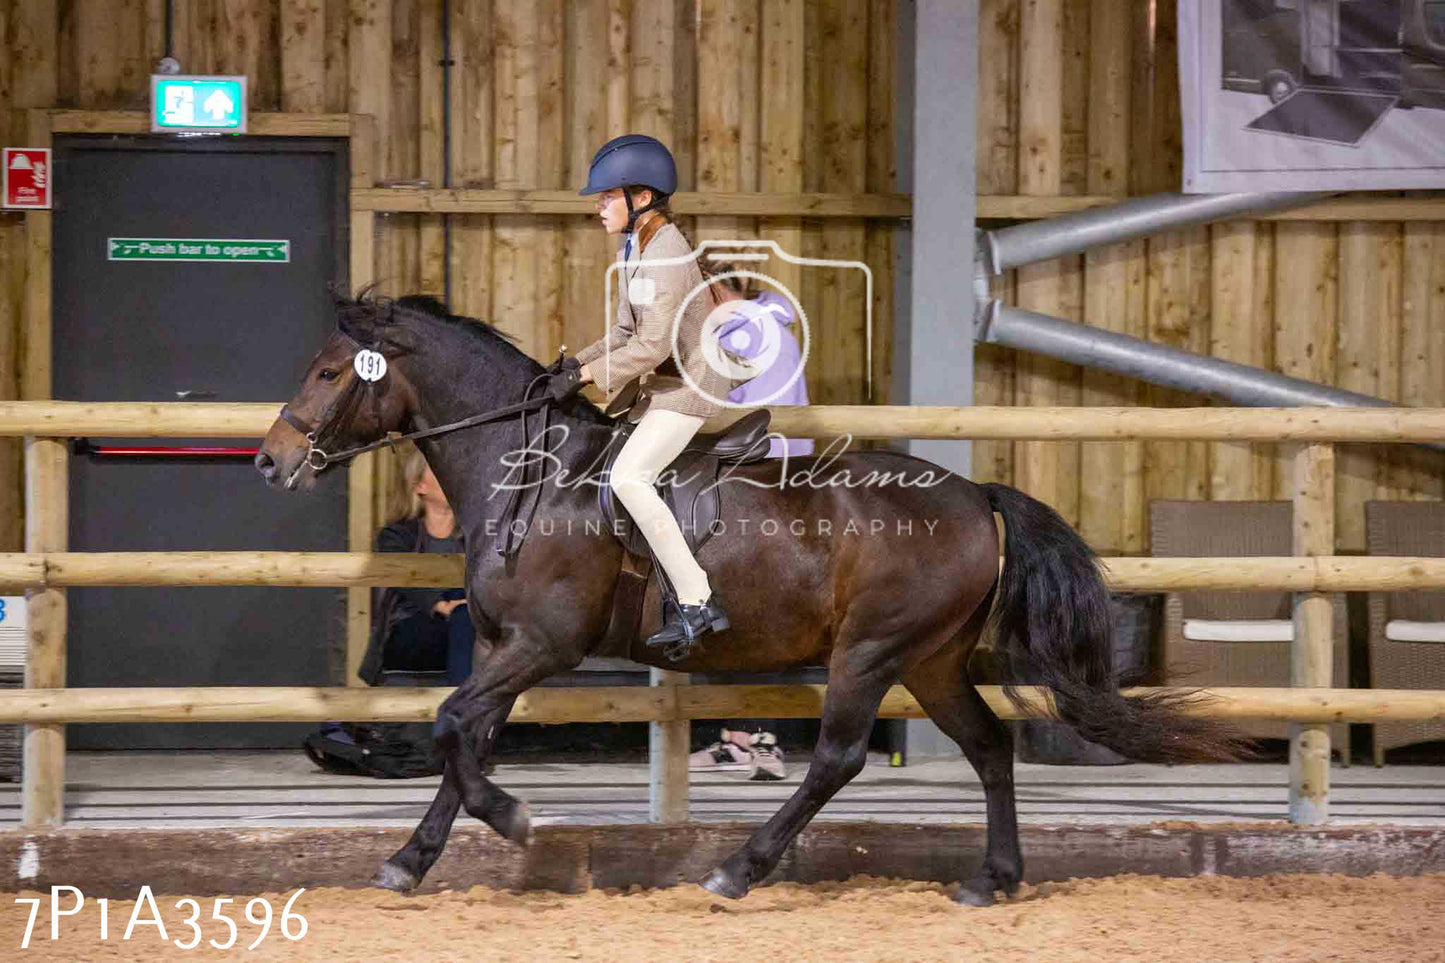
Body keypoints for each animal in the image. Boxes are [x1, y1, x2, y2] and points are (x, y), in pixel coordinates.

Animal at [257, 292, 1242, 902]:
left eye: (328, 372)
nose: (271, 459)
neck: (531, 470)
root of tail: (974, 495)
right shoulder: (504, 646)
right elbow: (463, 738)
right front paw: (410, 860)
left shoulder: (541, 644)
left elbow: (453, 725)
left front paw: (513, 818)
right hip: (927, 660)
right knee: (989, 746)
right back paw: (990, 877)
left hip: (870, 653)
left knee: (837, 757)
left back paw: (740, 867)